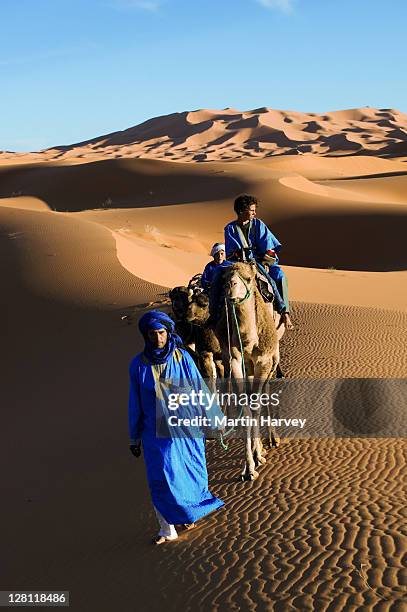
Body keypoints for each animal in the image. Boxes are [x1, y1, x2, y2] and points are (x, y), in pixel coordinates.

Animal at [217, 260, 284, 480]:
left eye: (248, 278)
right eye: (224, 277)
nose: (230, 285)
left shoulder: (264, 360)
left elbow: (256, 403)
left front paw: (258, 455)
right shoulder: (235, 360)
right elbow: (245, 407)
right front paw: (249, 466)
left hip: (272, 358)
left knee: (266, 392)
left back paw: (272, 439)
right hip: (250, 366)